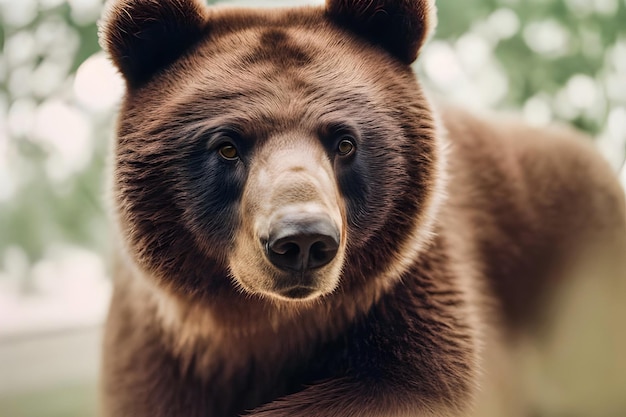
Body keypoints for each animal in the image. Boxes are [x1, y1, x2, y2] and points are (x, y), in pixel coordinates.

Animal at [96, 0, 624, 416]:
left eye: (345, 142)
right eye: (227, 146)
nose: (302, 241)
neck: (262, 327)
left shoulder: (408, 294)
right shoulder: (160, 358)